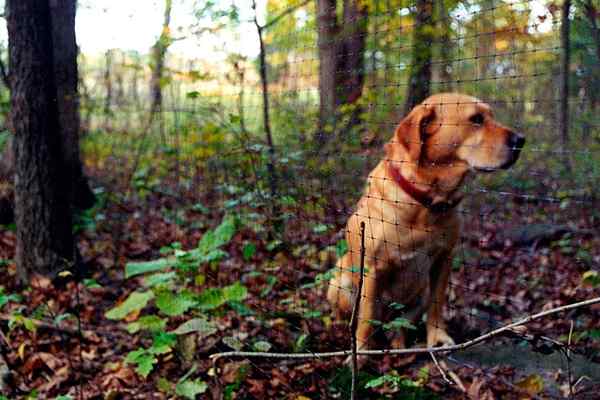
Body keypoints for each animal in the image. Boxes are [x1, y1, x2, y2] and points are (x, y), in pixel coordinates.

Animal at [328, 92, 524, 358]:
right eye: (476, 119)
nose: (521, 140)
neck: (425, 201)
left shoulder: (444, 259)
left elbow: (437, 304)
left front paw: (437, 338)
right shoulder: (372, 269)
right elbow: (366, 317)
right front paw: (360, 355)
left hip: (418, 295)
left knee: (399, 325)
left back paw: (399, 343)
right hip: (339, 283)